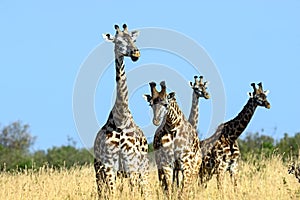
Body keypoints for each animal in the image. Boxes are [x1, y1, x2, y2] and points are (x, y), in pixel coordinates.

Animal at [94, 24, 150, 198]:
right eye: (118, 41)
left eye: (133, 39)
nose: (135, 52)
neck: (121, 117)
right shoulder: (109, 166)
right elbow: (112, 194)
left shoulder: (130, 163)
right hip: (98, 171)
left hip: (143, 168)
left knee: (146, 192)